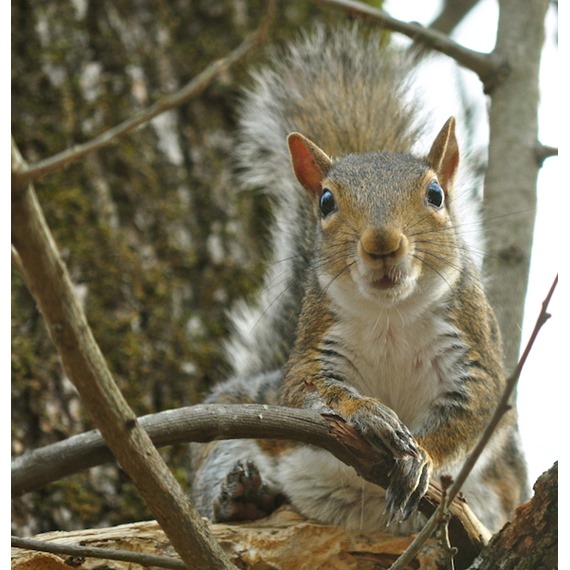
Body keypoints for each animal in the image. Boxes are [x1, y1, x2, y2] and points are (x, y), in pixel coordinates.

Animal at [189, 21, 524, 528]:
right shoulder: (314, 350)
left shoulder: (474, 357)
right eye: (326, 202)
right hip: (230, 431)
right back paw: (241, 497)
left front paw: (422, 455)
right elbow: (306, 392)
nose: (381, 243)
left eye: (435, 195)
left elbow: (473, 416)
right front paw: (368, 413)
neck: (390, 314)